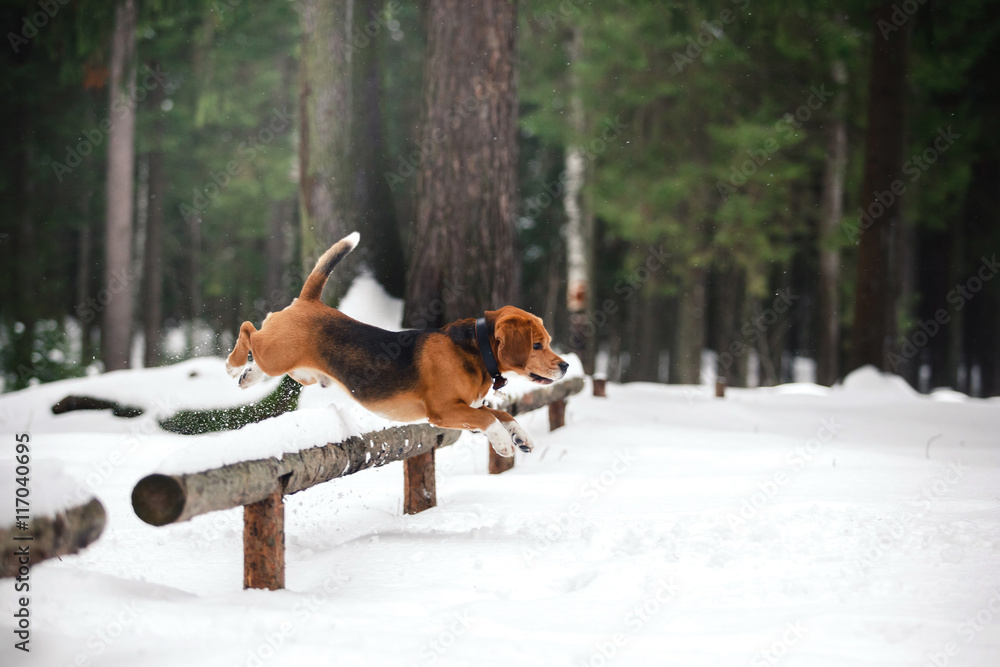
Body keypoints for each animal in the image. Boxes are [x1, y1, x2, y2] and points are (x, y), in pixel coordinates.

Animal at [228, 232, 572, 456]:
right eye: (537, 345)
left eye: (547, 342)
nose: (566, 365)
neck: (476, 350)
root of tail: (309, 301)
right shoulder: (443, 411)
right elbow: (490, 418)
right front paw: (503, 444)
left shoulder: (466, 409)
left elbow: (502, 415)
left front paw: (520, 437)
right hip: (276, 353)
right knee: (248, 330)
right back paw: (233, 365)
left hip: (300, 372)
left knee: (260, 355)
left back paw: (247, 377)